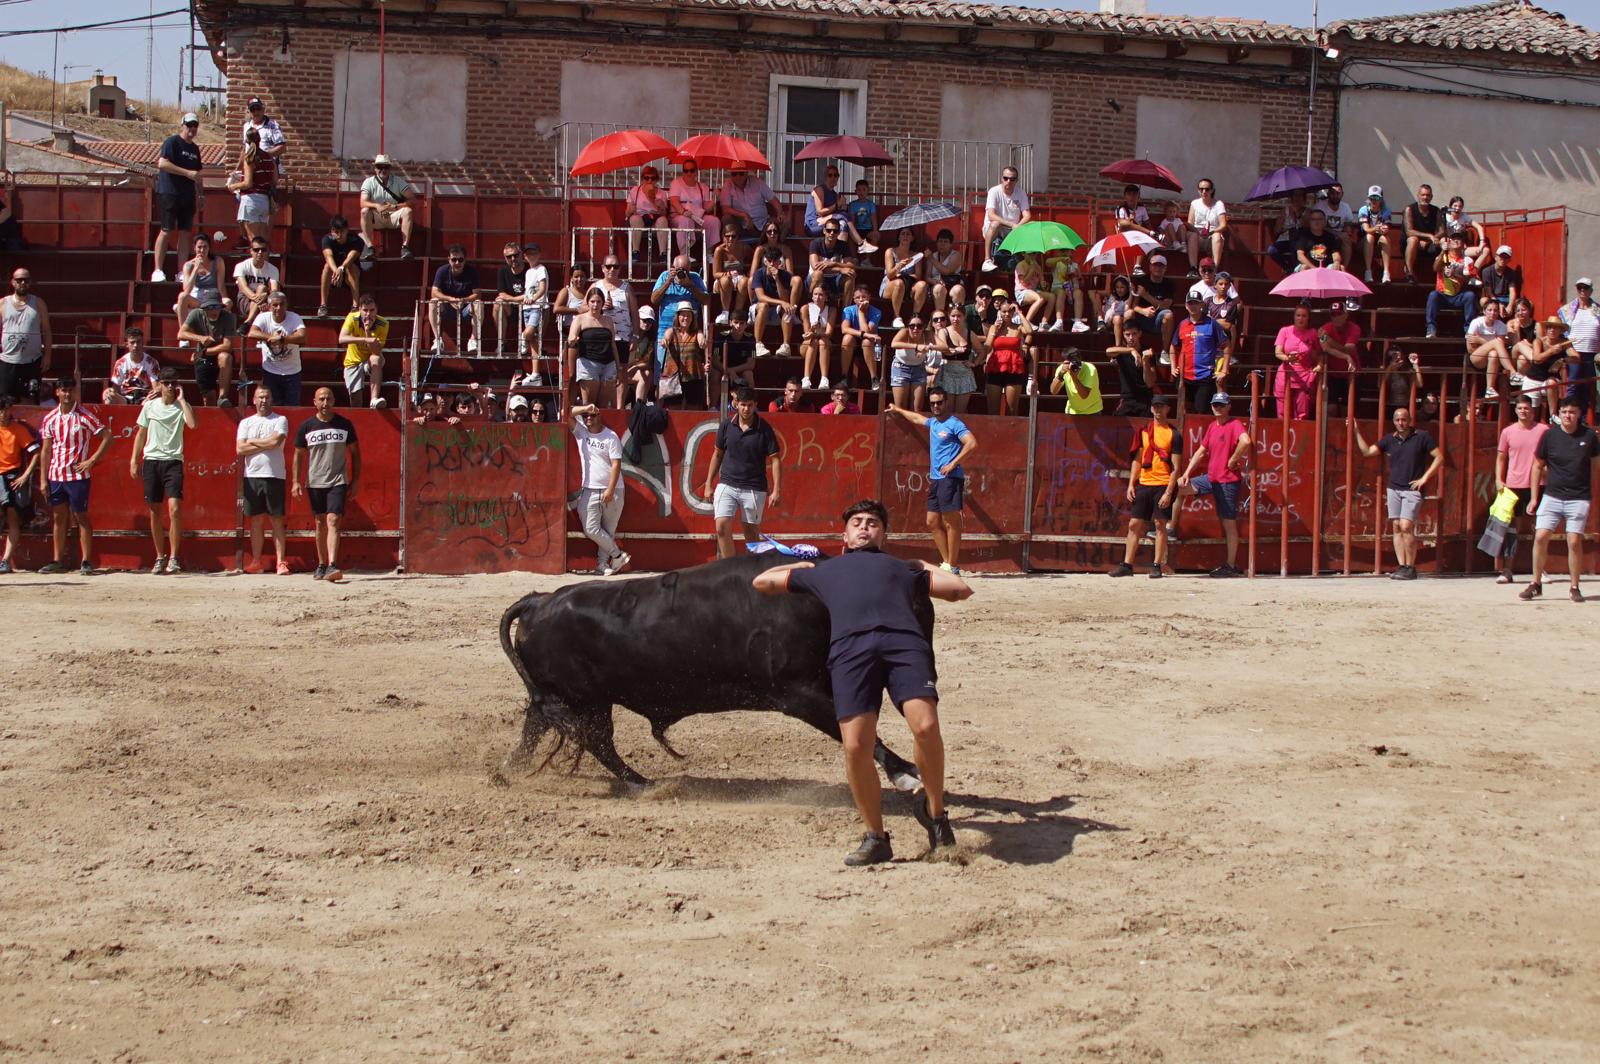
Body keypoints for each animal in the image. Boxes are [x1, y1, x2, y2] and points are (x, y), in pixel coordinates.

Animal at [492, 550, 934, 784]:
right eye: (914, 612)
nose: (926, 677)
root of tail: (539, 601)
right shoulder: (800, 693)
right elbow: (857, 732)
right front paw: (906, 772)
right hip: (582, 700)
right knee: (593, 740)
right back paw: (641, 784)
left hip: (581, 701)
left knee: (547, 733)